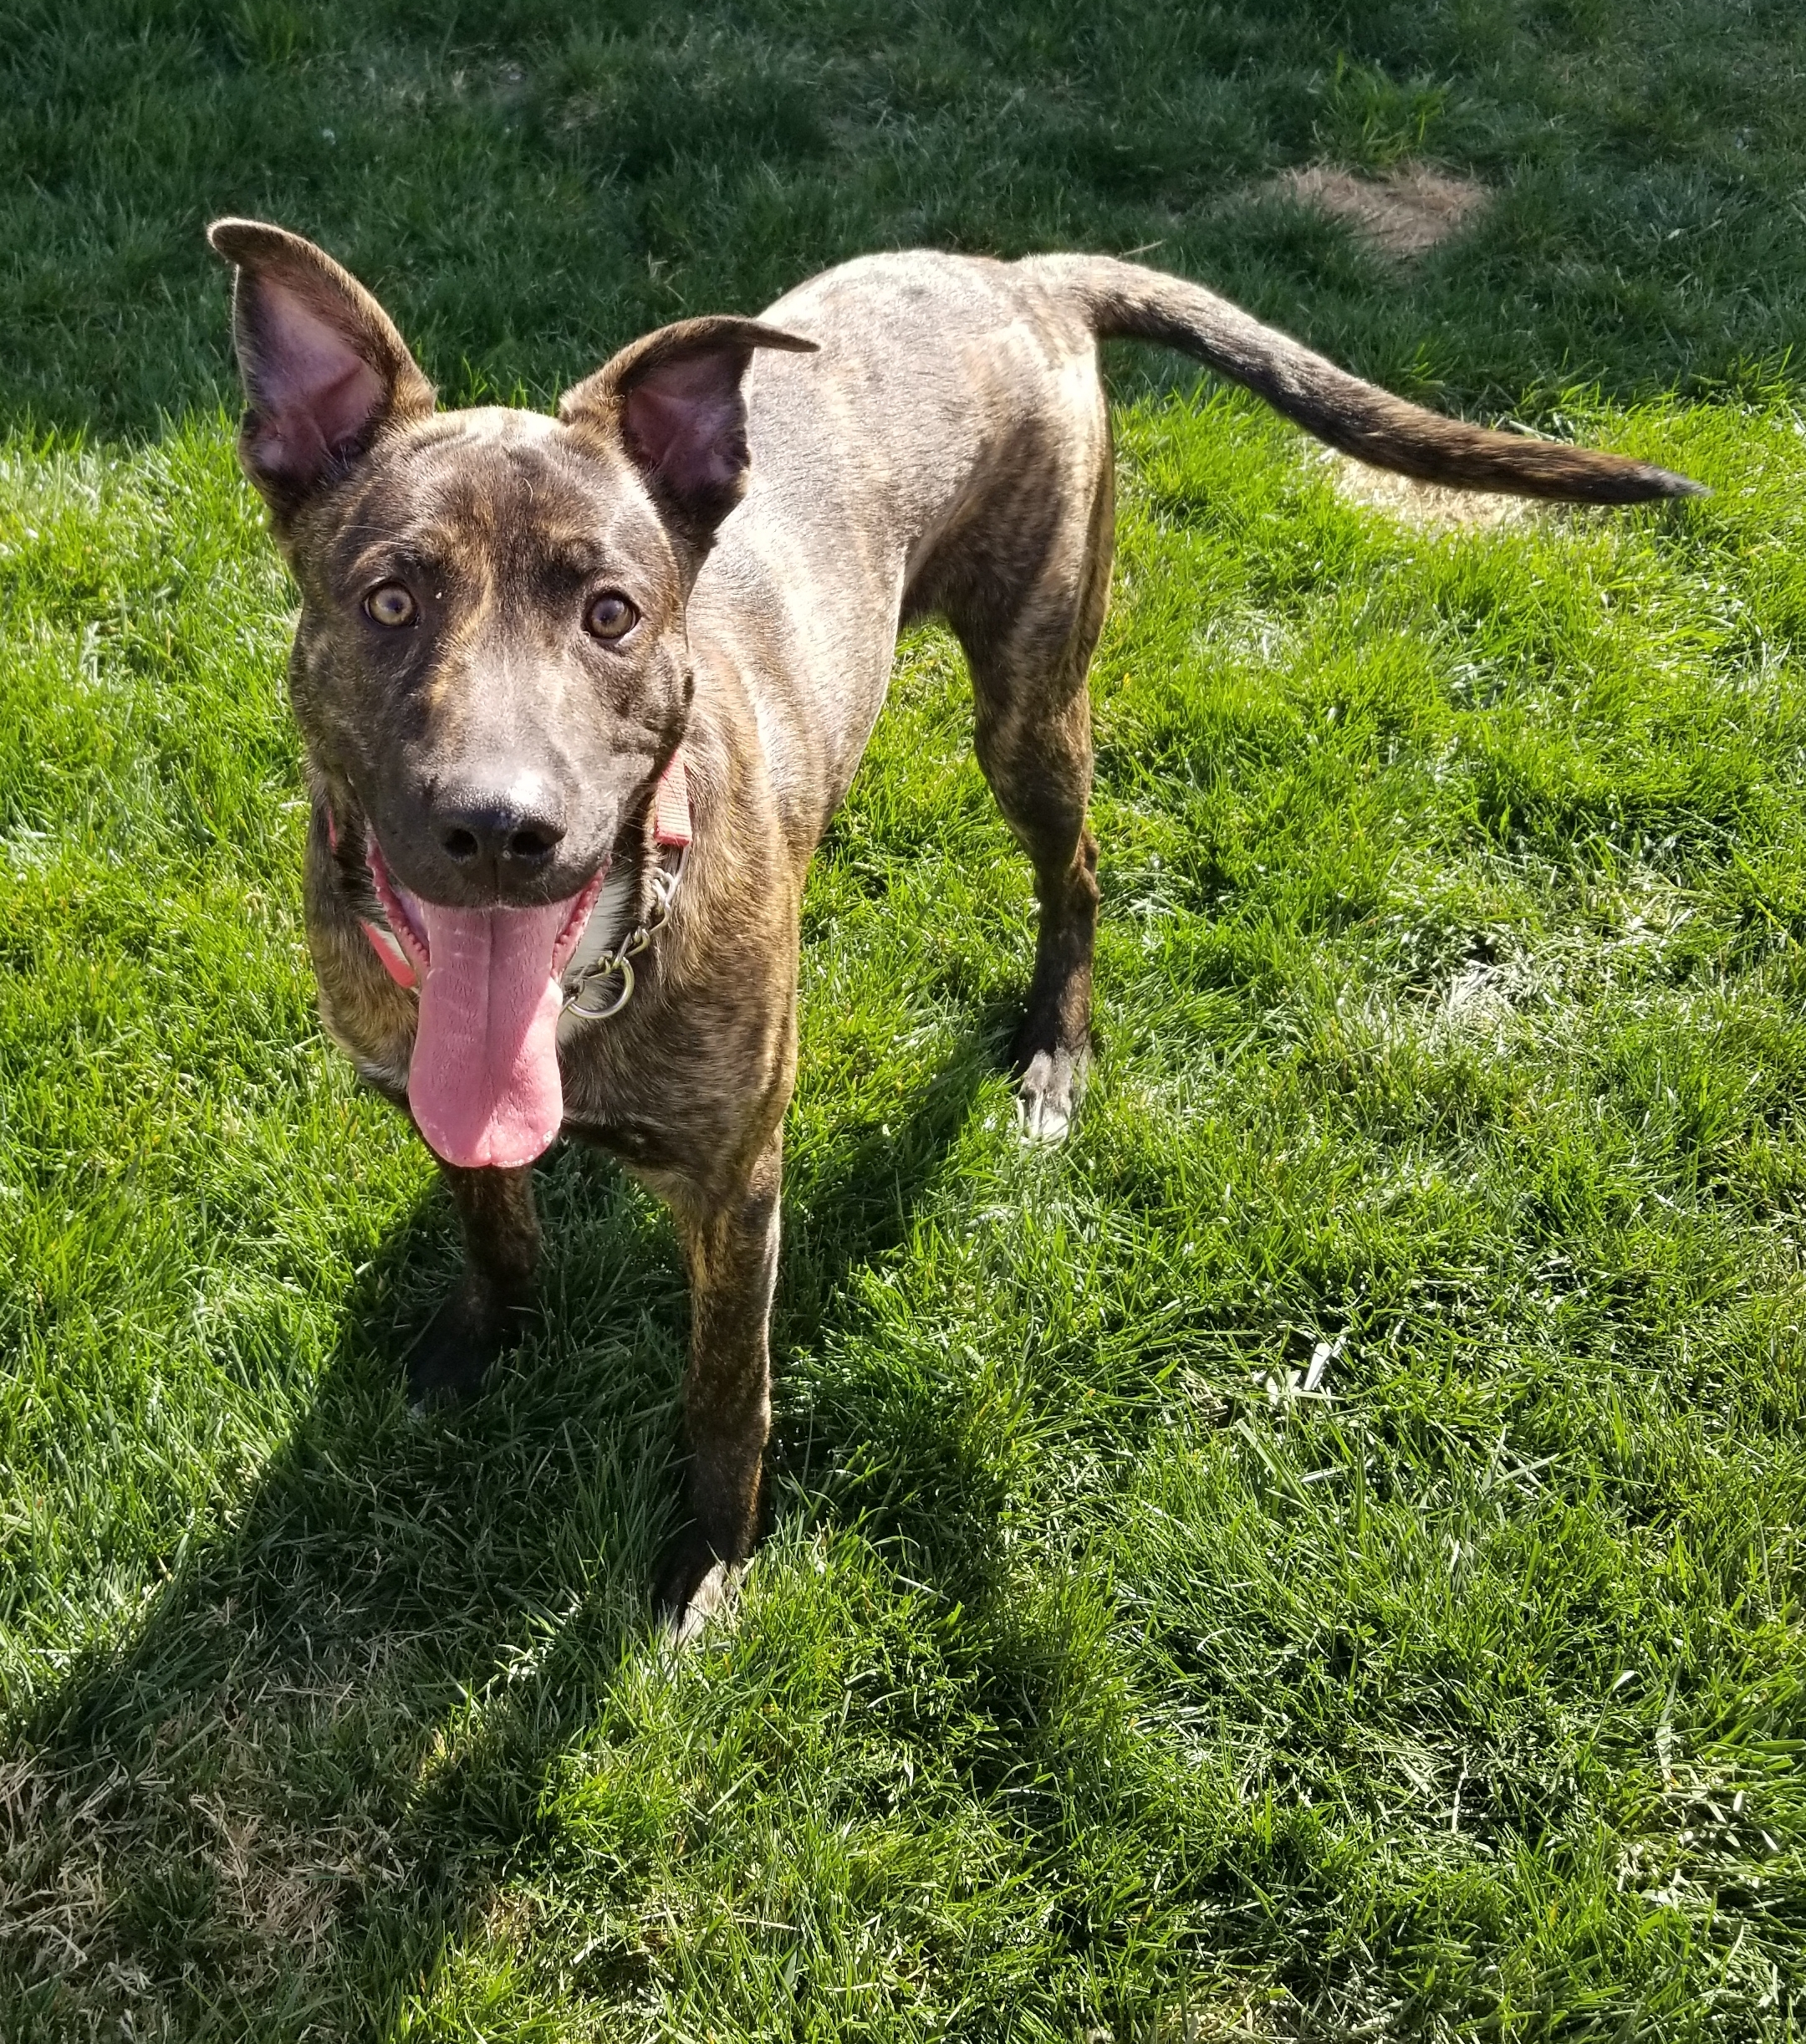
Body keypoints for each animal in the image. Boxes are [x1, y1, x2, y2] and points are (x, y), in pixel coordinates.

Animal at [204, 219, 1699, 1627]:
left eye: (612, 614)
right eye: (391, 598)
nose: (499, 830)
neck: (581, 979)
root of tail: (1023, 274)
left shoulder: (738, 1189)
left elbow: (725, 1397)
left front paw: (710, 1566)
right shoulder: (432, 1091)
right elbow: (489, 1219)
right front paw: (488, 1335)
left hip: (1031, 698)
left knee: (1078, 873)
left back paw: (1055, 1050)